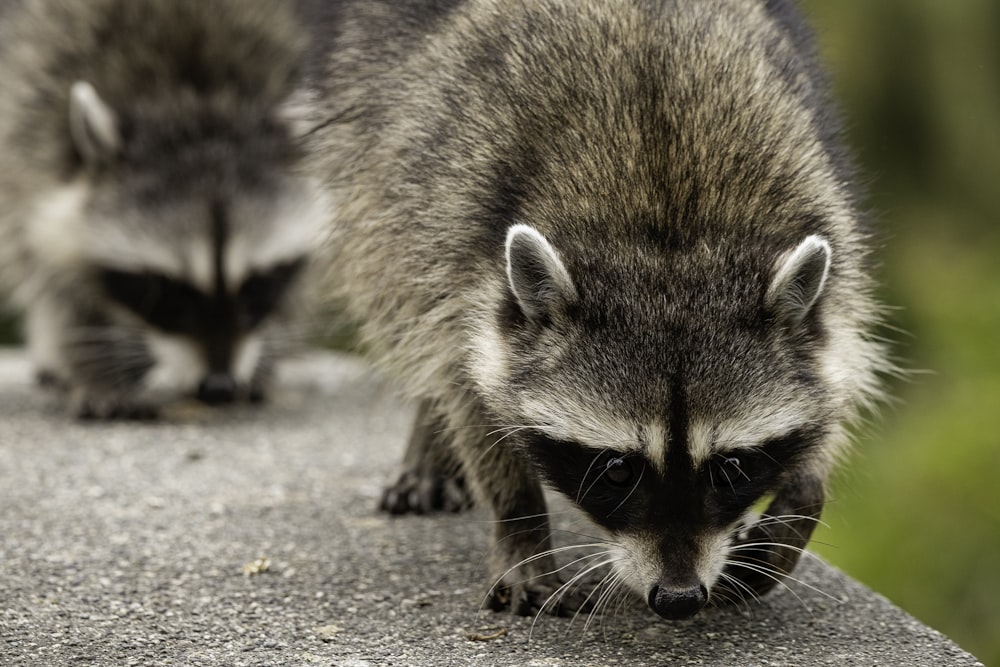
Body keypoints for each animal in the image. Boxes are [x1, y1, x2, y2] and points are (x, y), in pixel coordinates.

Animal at [0, 0, 326, 418]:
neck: (190, 97)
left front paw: (267, 352)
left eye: (258, 284)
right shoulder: (32, 115)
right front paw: (90, 364)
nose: (218, 387)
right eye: (166, 290)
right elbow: (52, 273)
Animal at [306, 0, 892, 620]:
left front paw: (793, 510)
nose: (678, 599)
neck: (668, 230)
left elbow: (831, 391)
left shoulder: (832, 239)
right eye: (617, 470)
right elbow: (466, 385)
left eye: (731, 468)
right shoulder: (454, 238)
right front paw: (520, 523)